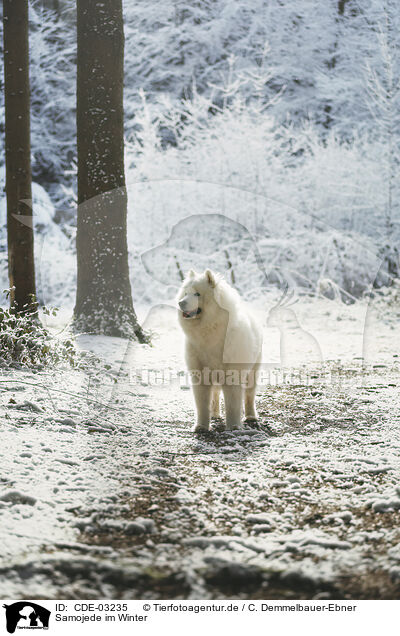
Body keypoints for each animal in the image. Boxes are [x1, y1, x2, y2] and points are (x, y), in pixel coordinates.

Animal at [177, 268, 262, 432]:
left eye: (197, 294)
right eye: (185, 293)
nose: (180, 303)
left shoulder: (232, 375)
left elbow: (233, 404)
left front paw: (234, 426)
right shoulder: (200, 375)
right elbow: (202, 404)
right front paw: (201, 426)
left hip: (252, 372)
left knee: (249, 396)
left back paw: (250, 417)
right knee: (215, 395)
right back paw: (215, 414)